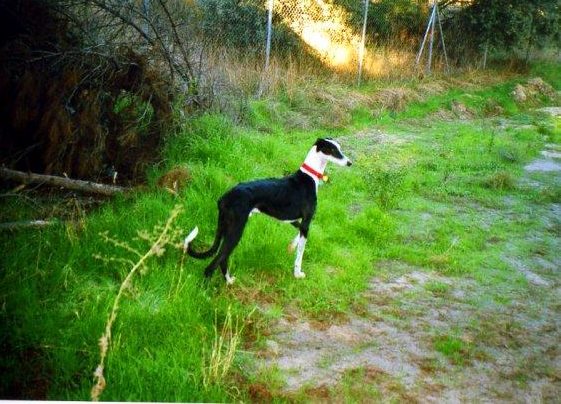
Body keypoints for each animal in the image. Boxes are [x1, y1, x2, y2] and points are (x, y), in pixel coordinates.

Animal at [184, 139, 350, 284]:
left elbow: (298, 234)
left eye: (339, 148)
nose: (350, 163)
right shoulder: (306, 220)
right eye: (333, 150)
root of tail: (224, 198)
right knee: (213, 264)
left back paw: (229, 281)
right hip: (235, 231)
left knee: (222, 259)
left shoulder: (294, 220)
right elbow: (300, 253)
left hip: (226, 227)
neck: (308, 177)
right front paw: (297, 273)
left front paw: (291, 246)